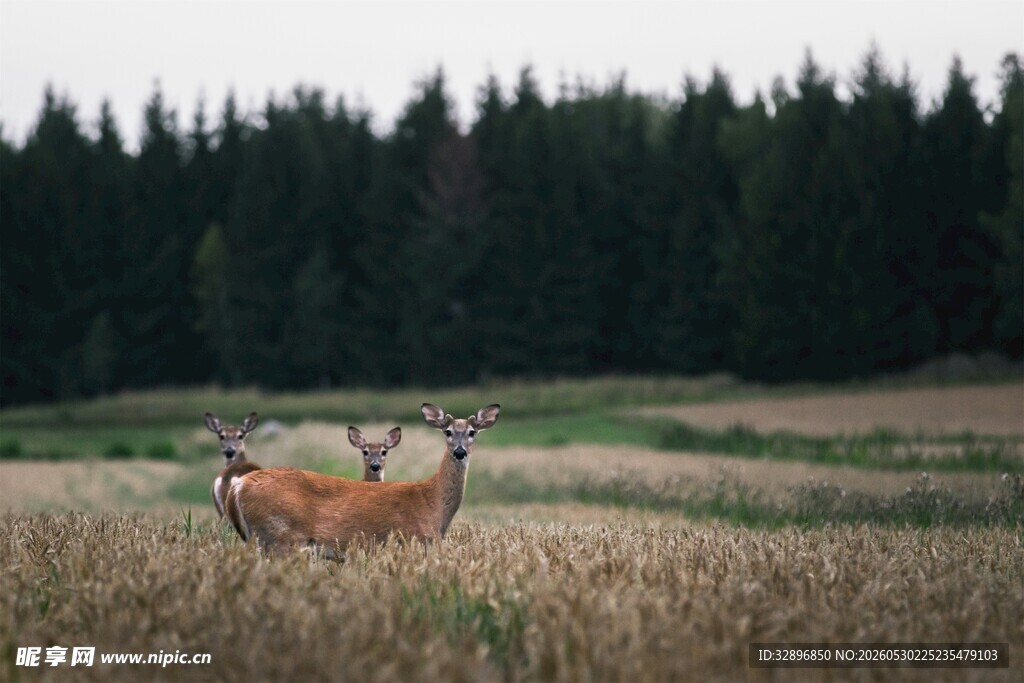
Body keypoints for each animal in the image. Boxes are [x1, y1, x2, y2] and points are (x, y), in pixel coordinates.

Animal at [224, 403, 499, 557]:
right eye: (448, 431)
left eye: (472, 432)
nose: (460, 452)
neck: (432, 503)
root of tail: (238, 486)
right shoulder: (412, 540)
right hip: (281, 537)